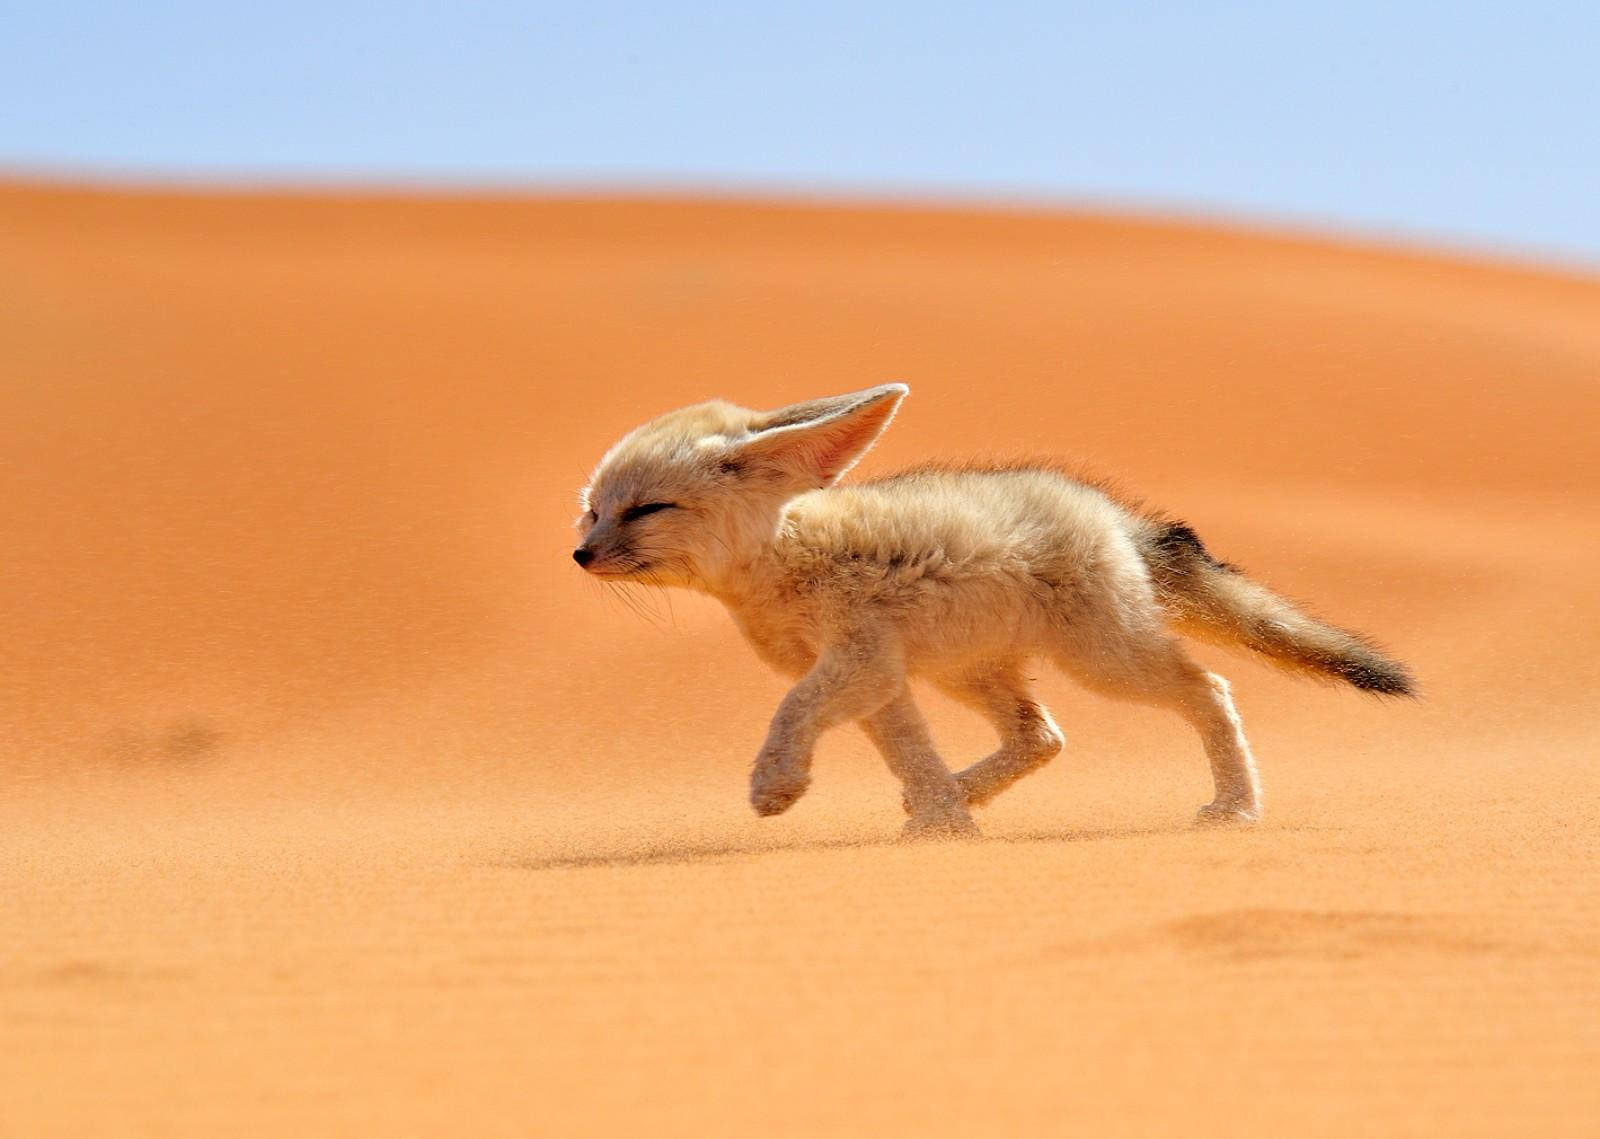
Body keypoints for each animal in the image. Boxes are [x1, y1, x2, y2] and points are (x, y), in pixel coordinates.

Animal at [576, 382, 1414, 838]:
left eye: (647, 509)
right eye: (593, 511)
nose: (580, 555)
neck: (783, 557)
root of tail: (1110, 512)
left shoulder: (857, 660)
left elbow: (791, 712)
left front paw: (776, 783)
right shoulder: (880, 677)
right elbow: (908, 751)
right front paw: (943, 822)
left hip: (1105, 661)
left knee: (1208, 688)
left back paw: (1237, 805)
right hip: (969, 671)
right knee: (1042, 735)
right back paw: (962, 791)